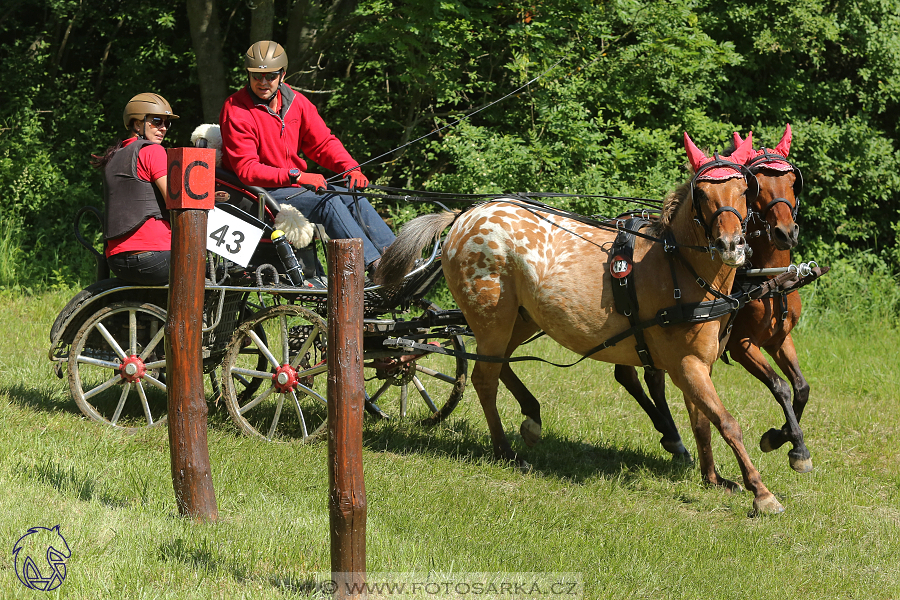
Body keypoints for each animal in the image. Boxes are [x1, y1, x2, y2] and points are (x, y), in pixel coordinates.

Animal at [377, 132, 786, 514]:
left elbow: (703, 420)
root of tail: (465, 216)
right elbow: (726, 421)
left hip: (521, 320)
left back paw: (531, 418)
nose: (730, 244)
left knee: (500, 364)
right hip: (493, 319)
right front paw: (761, 492)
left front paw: (714, 478)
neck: (680, 266)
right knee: (484, 378)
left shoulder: (699, 364)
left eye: (743, 189)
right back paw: (505, 450)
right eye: (702, 192)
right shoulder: (685, 365)